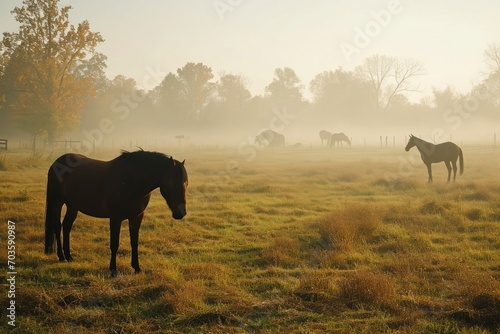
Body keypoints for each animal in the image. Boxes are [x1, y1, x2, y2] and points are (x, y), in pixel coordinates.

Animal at [44, 150, 188, 276]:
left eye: (186, 183)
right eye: (172, 182)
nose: (181, 213)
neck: (131, 182)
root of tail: (56, 163)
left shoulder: (136, 217)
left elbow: (134, 242)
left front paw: (137, 268)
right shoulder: (115, 218)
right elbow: (114, 244)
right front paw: (113, 270)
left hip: (73, 206)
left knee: (66, 226)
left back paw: (69, 257)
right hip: (57, 203)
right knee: (57, 226)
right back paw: (61, 256)